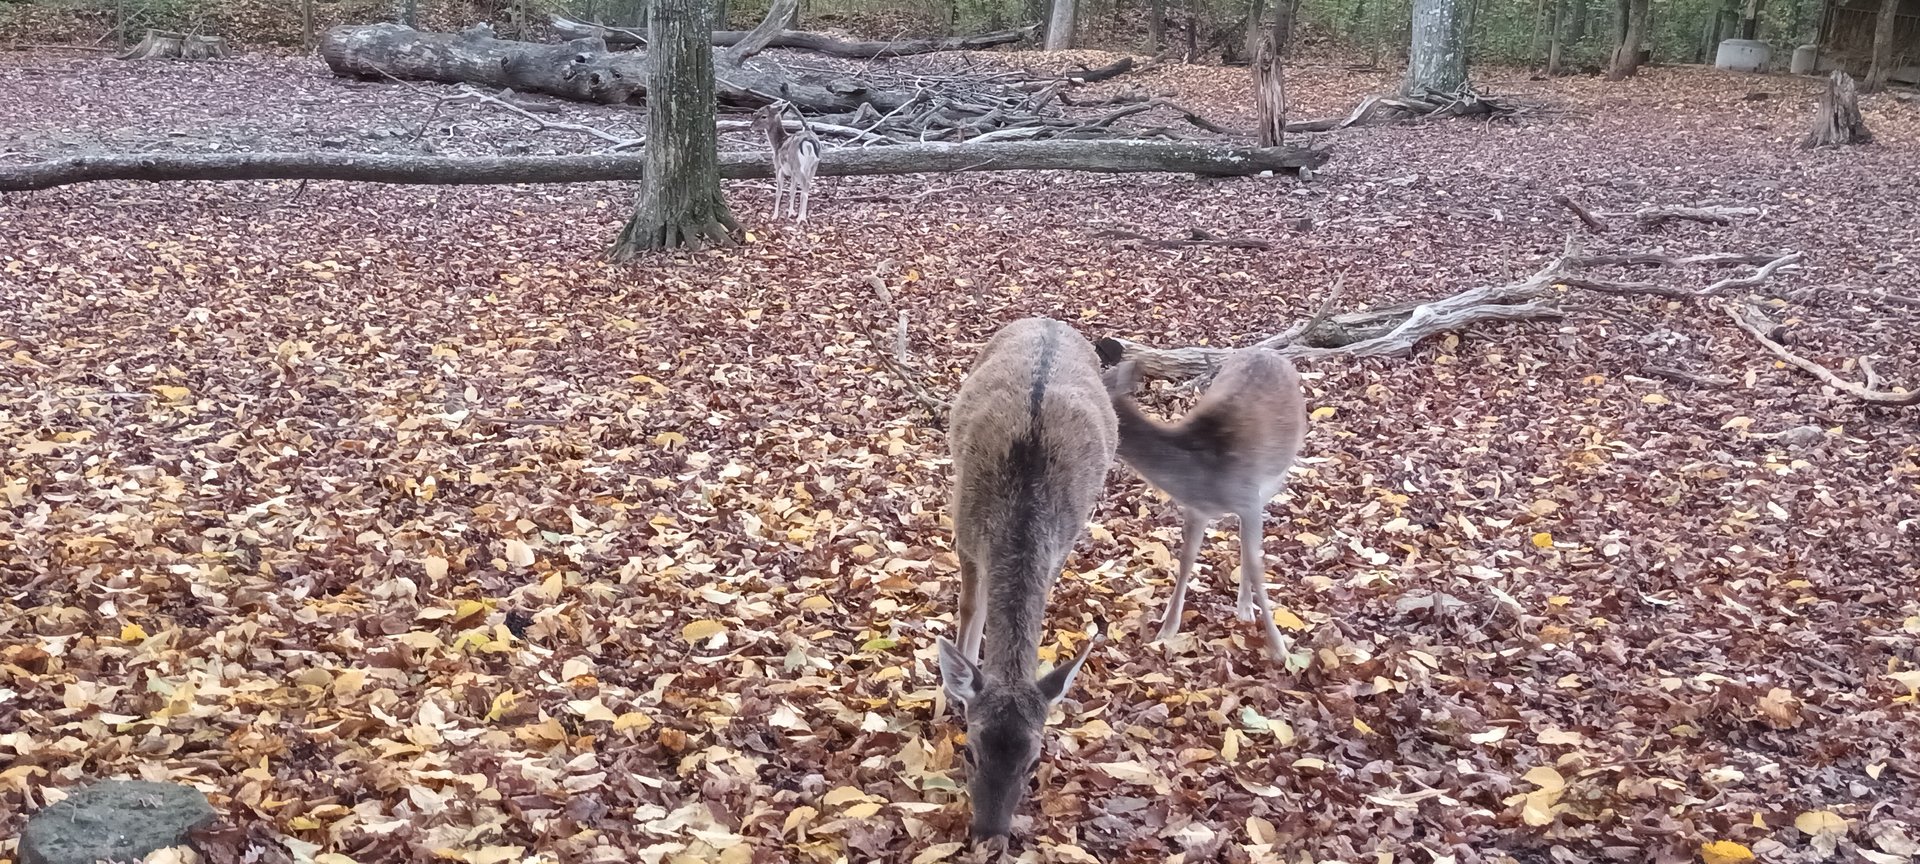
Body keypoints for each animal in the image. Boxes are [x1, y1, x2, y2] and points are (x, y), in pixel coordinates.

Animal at [935, 317, 1118, 854]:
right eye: (969, 752)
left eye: (1034, 760)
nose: (990, 837)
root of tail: (1051, 322)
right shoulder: (965, 531)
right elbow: (970, 608)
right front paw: (950, 693)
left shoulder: (1061, 545)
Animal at [1102, 347, 1307, 662]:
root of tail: (1268, 350)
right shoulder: (1196, 509)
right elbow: (1186, 560)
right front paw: (1167, 628)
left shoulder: (1249, 500)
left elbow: (1257, 567)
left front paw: (1280, 649)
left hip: (1276, 477)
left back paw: (1245, 608)